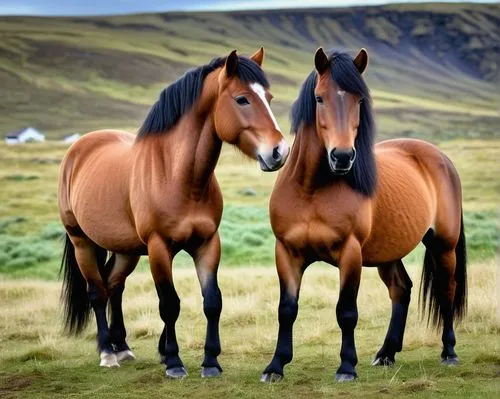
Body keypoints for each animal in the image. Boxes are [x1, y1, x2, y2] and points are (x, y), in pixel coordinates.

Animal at [57, 48, 290, 380]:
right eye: (242, 99)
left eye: (268, 97)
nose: (279, 152)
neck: (178, 176)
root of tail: (79, 148)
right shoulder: (159, 247)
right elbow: (169, 304)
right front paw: (174, 361)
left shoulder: (207, 243)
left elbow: (212, 301)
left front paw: (210, 361)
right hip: (83, 243)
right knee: (97, 293)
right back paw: (107, 352)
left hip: (126, 250)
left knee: (115, 286)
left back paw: (122, 346)